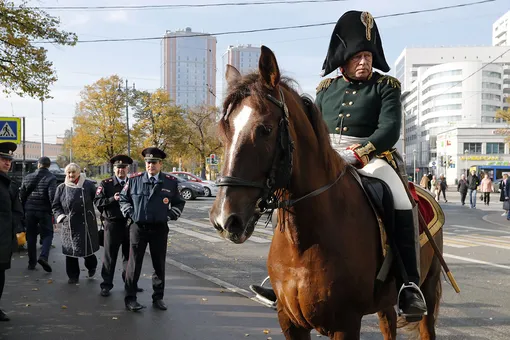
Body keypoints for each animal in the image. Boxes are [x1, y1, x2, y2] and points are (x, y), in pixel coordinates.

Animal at [207, 45, 442, 340]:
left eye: (265, 129)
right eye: (224, 130)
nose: (225, 219)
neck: (304, 242)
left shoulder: (345, 324)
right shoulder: (290, 322)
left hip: (429, 289)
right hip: (385, 302)